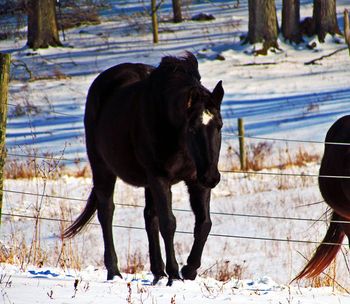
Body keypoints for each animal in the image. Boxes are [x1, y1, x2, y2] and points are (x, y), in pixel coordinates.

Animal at [63, 52, 224, 284]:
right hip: (103, 168)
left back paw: (157, 272)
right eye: (192, 129)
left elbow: (204, 223)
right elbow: (169, 223)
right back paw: (114, 271)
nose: (212, 177)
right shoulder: (160, 177)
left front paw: (189, 270)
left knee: (149, 217)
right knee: (107, 213)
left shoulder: (196, 179)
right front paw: (174, 275)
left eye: (219, 126)